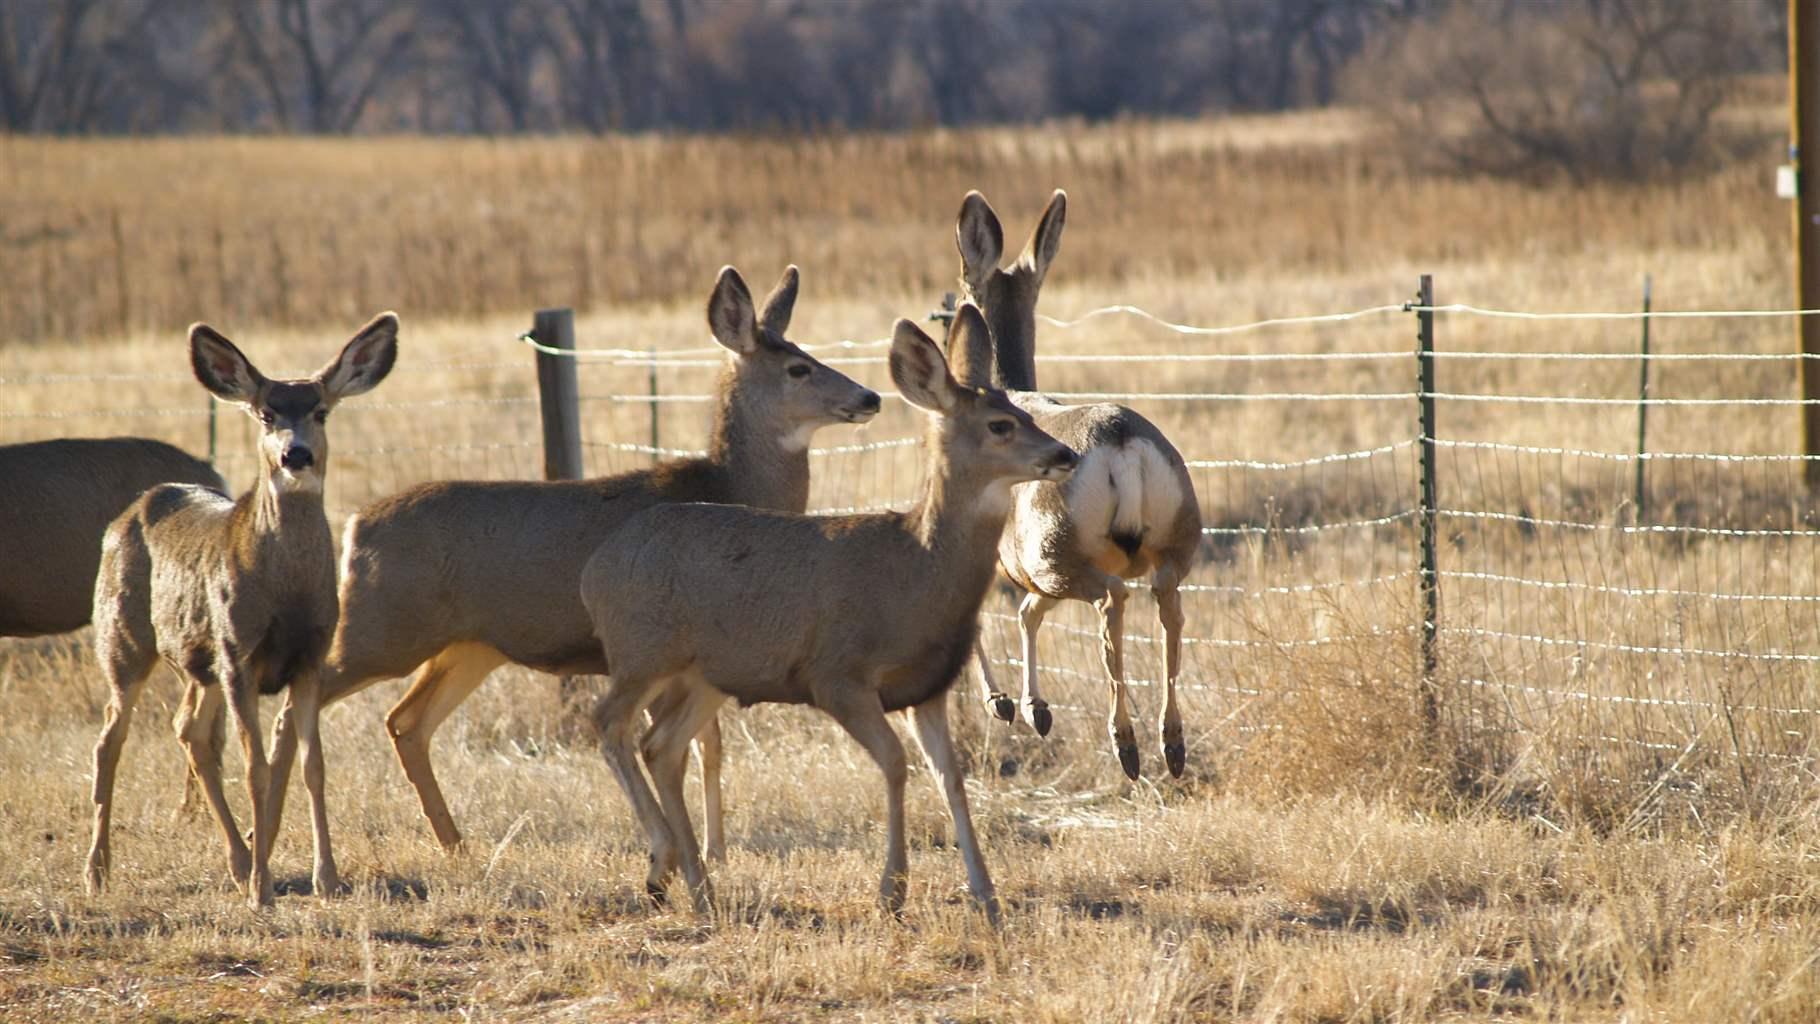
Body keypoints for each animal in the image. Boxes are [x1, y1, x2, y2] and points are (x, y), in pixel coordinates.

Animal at [85, 316, 398, 909]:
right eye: (266, 413)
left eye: (321, 411)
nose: (295, 454)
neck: (287, 593)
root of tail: (129, 511)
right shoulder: (239, 653)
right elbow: (257, 768)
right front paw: (263, 888)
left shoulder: (311, 656)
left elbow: (313, 764)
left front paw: (326, 878)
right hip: (123, 638)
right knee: (110, 737)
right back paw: (97, 870)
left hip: (200, 659)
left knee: (189, 730)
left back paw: (234, 860)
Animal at [258, 263, 880, 858]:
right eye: (798, 368)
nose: (869, 397)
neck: (729, 487)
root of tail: (354, 527)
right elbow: (694, 744)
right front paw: (697, 847)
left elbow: (708, 745)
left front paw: (715, 848)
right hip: (379, 628)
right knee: (300, 705)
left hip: (468, 646)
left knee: (405, 721)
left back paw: (455, 844)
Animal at [582, 307, 1070, 931]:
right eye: (1001, 425)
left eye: (1024, 414)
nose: (1065, 455)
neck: (917, 569)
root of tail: (594, 570)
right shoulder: (836, 674)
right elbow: (896, 764)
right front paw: (891, 892)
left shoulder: (928, 687)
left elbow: (951, 776)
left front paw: (986, 897)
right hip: (642, 654)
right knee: (610, 723)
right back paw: (673, 871)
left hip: (708, 674)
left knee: (660, 746)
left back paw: (700, 889)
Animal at [953, 192, 1208, 782]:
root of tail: (1120, 440)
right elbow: (1027, 614)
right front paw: (1034, 709)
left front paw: (1002, 703)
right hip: (1178, 534)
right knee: (1168, 603)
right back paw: (1171, 742)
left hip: (1057, 551)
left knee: (1113, 601)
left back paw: (1127, 745)